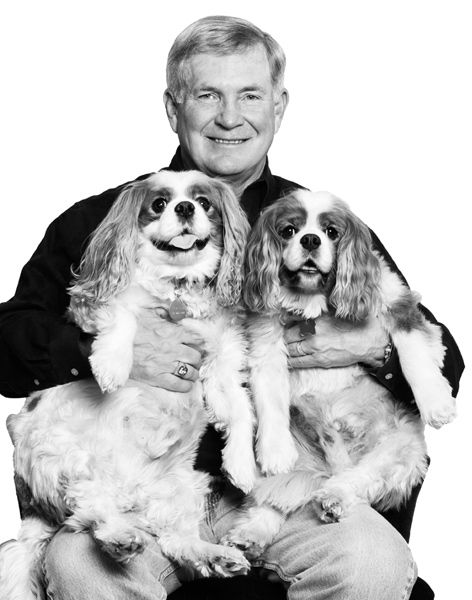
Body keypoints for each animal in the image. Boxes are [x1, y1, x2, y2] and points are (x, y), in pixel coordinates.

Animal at [0, 170, 258, 600]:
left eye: (204, 202)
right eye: (159, 204)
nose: (184, 208)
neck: (176, 285)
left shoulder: (220, 363)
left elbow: (239, 411)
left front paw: (242, 465)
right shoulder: (93, 305)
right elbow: (122, 316)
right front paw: (111, 365)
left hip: (183, 486)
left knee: (174, 539)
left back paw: (212, 554)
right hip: (65, 456)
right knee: (92, 511)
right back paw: (121, 537)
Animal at [223, 189, 456, 556]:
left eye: (331, 232)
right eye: (289, 230)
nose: (310, 239)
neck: (311, 299)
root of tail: (330, 465)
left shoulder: (397, 303)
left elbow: (414, 352)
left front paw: (436, 404)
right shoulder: (266, 342)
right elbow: (270, 400)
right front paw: (274, 449)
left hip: (400, 450)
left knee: (357, 479)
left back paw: (332, 498)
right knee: (274, 498)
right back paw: (251, 534)